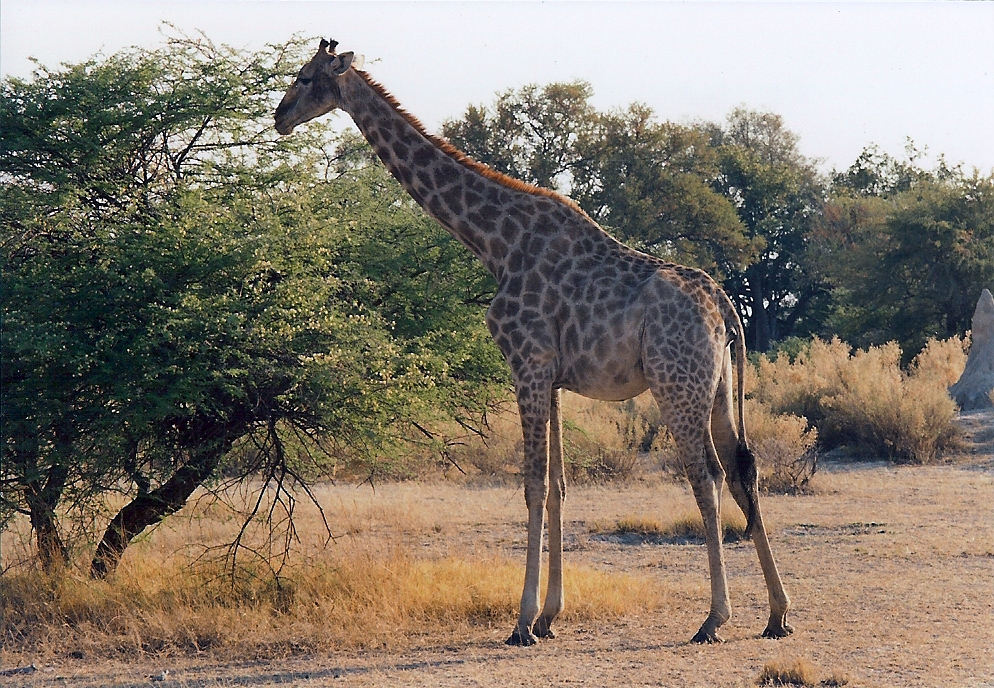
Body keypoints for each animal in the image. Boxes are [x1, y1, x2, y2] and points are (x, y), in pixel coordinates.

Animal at [275, 39, 793, 646]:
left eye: (306, 78)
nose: (280, 117)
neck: (495, 243)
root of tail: (725, 307)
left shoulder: (527, 363)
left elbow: (531, 484)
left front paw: (522, 621)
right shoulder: (554, 376)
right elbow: (560, 485)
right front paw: (549, 615)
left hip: (676, 385)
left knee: (705, 476)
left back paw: (714, 618)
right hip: (718, 389)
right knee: (741, 469)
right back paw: (778, 614)